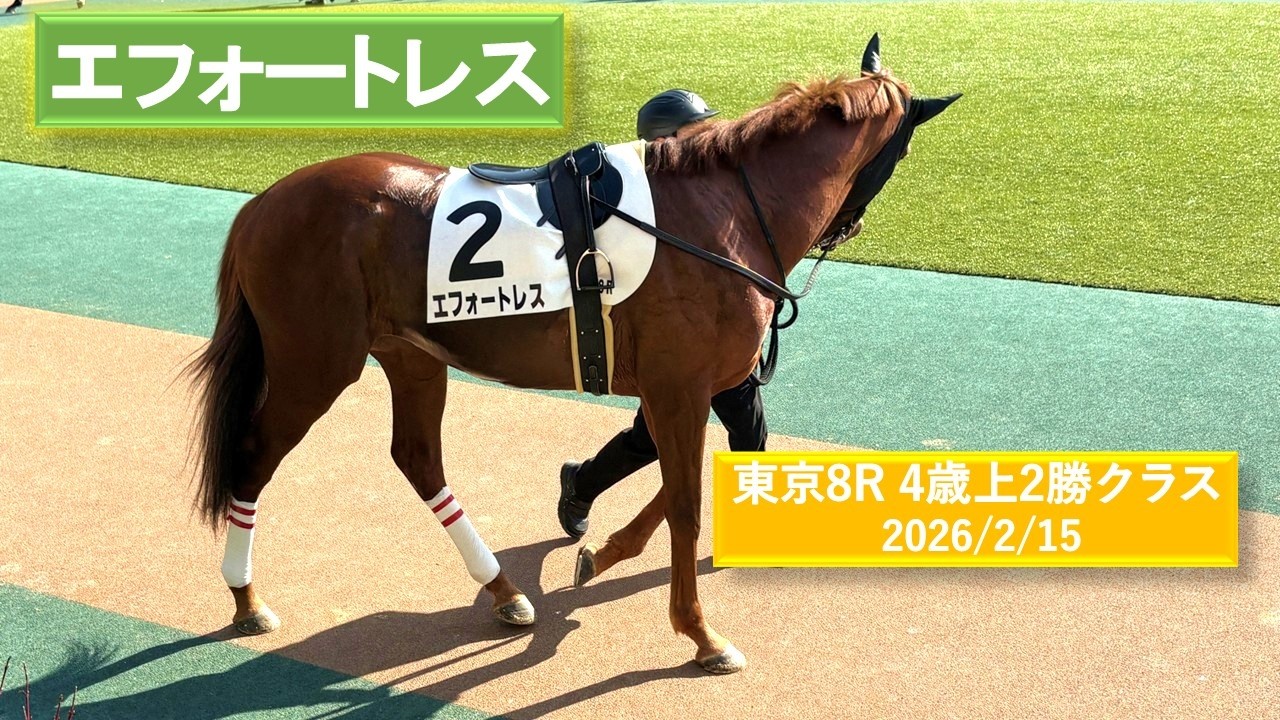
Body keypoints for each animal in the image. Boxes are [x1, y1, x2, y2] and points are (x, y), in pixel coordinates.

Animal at [187, 34, 958, 674]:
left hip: (412, 353)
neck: (723, 213)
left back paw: (503, 590)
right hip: (314, 362)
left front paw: (604, 551)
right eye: (903, 153)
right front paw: (701, 635)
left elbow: (682, 484)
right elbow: (685, 501)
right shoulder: (679, 388)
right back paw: (246, 599)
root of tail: (261, 203)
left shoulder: (689, 388)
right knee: (255, 455)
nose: (845, 226)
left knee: (417, 456)